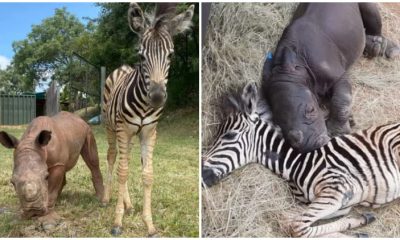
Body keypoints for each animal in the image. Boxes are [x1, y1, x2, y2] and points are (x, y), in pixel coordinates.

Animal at [102, 2, 195, 236]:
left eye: (170, 55)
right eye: (141, 56)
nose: (157, 97)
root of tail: (122, 67)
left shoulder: (149, 132)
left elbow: (147, 175)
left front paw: (149, 224)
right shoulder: (123, 130)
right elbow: (123, 172)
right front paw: (117, 222)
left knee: (125, 159)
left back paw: (128, 204)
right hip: (111, 128)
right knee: (113, 157)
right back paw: (107, 198)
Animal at [202, 83, 400, 238]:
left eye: (229, 135)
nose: (202, 176)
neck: (296, 163)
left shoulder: (337, 190)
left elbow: (297, 226)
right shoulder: (341, 203)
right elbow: (289, 218)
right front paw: (360, 222)